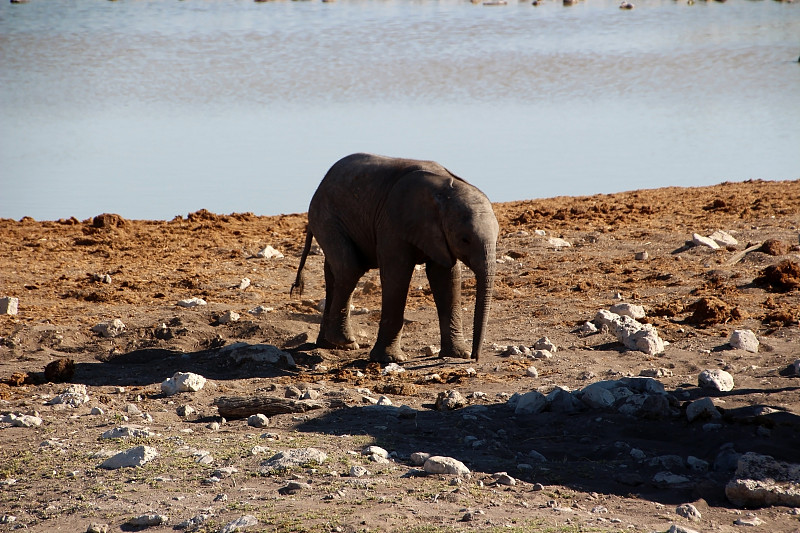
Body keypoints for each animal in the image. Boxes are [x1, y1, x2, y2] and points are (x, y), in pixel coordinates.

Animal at [290, 152, 496, 364]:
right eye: (465, 239)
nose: (475, 357)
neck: (445, 191)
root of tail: (322, 183)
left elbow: (446, 278)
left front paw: (457, 354)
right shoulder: (393, 222)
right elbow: (397, 275)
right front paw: (390, 359)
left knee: (334, 273)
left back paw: (331, 345)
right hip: (326, 217)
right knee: (349, 269)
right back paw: (344, 342)